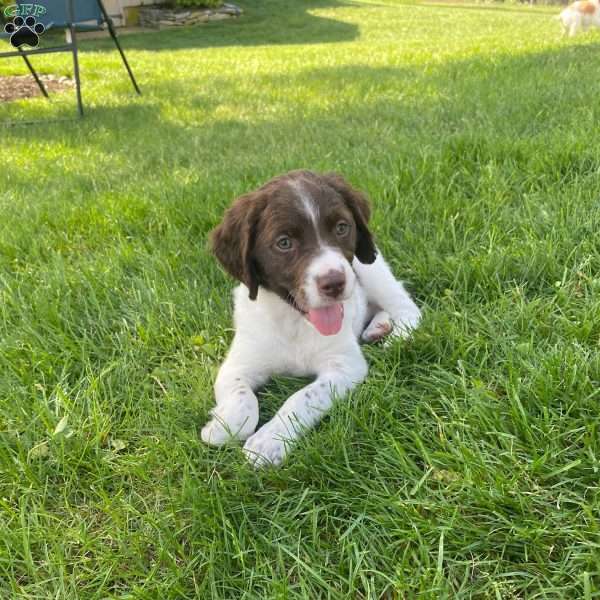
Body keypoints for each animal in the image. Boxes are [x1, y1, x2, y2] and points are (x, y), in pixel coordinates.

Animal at [203, 171, 422, 466]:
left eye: (341, 228)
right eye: (284, 243)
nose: (335, 283)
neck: (294, 321)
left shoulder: (344, 367)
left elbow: (302, 398)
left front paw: (268, 440)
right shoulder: (238, 363)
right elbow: (242, 400)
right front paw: (221, 425)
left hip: (369, 267)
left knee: (407, 307)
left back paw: (395, 336)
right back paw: (377, 326)